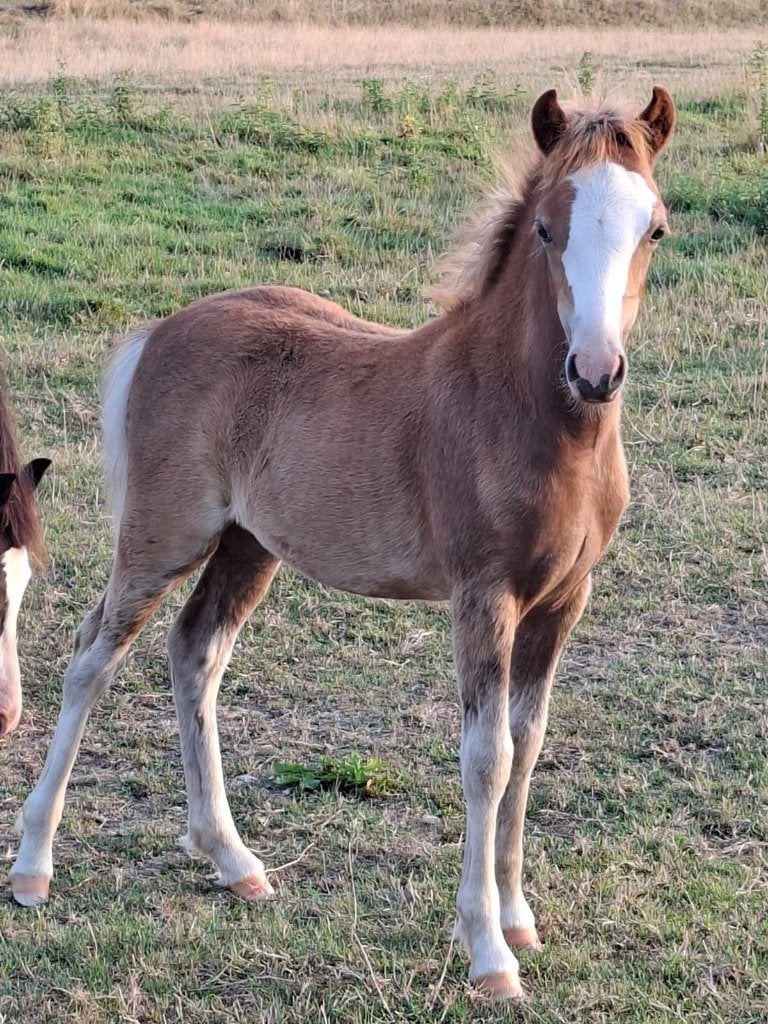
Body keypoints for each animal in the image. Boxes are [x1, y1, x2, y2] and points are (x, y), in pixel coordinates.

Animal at [10, 86, 674, 999]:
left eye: (655, 228)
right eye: (546, 228)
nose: (596, 370)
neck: (522, 417)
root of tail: (162, 330)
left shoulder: (563, 600)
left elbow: (529, 746)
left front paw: (518, 919)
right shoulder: (483, 596)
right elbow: (488, 757)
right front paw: (488, 952)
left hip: (248, 544)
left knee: (195, 651)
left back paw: (233, 859)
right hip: (163, 535)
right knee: (91, 656)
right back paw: (32, 866)